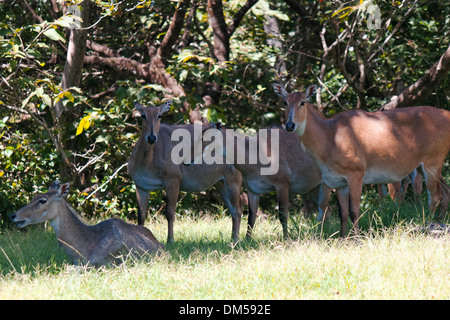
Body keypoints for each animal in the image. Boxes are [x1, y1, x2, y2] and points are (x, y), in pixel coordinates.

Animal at [128, 100, 244, 242]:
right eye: (143, 115)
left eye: (160, 115)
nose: (151, 138)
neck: (147, 162)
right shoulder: (141, 185)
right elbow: (141, 216)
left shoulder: (173, 180)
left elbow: (170, 212)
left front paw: (170, 240)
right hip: (220, 183)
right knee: (233, 209)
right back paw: (233, 238)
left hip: (233, 180)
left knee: (238, 210)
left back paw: (236, 239)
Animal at [192, 124, 332, 239]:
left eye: (204, 138)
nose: (190, 159)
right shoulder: (253, 189)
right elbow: (251, 216)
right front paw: (247, 240)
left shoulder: (282, 184)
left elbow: (283, 215)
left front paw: (286, 239)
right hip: (314, 188)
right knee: (326, 210)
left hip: (327, 183)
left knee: (323, 209)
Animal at [272, 84, 450, 236]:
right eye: (285, 102)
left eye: (302, 102)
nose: (289, 125)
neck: (329, 140)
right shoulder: (339, 181)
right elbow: (343, 213)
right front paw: (343, 238)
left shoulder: (356, 172)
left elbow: (354, 210)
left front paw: (356, 238)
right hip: (425, 164)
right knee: (445, 191)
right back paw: (440, 222)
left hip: (433, 159)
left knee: (434, 196)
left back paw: (427, 224)